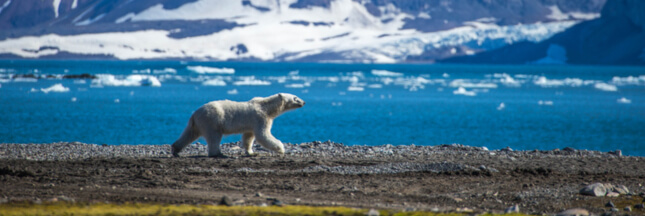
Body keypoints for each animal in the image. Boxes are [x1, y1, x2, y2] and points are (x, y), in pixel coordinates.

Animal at [170, 93, 304, 157]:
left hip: (198, 123)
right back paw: (218, 153)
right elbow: (263, 135)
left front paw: (251, 152)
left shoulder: (251, 123)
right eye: (295, 97)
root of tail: (195, 113)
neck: (266, 107)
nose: (303, 102)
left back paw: (175, 150)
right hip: (212, 120)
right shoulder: (260, 118)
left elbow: (248, 137)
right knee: (214, 136)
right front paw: (281, 149)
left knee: (189, 134)